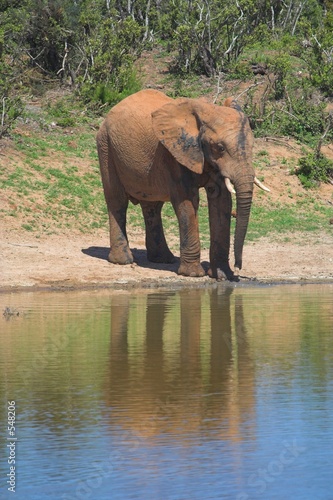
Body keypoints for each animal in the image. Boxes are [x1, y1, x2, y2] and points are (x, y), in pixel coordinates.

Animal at [96, 88, 268, 280]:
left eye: (252, 147)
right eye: (220, 148)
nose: (238, 268)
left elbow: (221, 202)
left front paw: (222, 275)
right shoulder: (175, 154)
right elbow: (187, 202)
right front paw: (193, 274)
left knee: (152, 207)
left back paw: (163, 259)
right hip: (106, 146)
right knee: (117, 201)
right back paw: (123, 260)